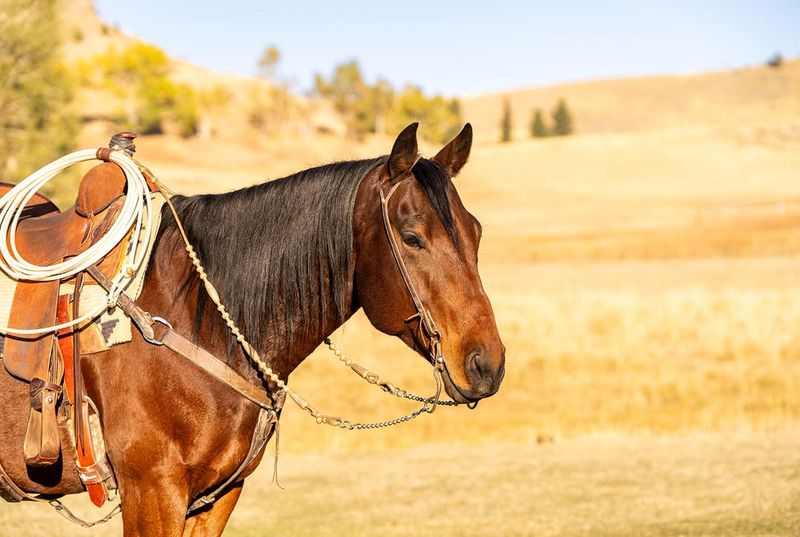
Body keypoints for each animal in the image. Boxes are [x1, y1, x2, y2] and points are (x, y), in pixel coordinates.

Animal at [0, 122, 504, 536]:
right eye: (412, 237)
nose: (487, 365)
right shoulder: (152, 490)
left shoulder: (217, 495)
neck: (196, 313)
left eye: (476, 232)